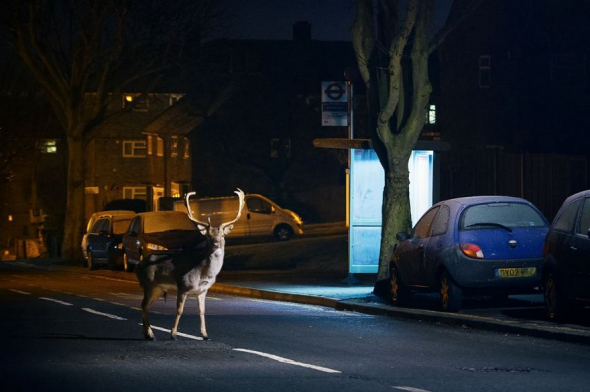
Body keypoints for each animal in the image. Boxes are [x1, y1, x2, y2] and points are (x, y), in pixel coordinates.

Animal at [136, 189, 245, 340]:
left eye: (222, 235)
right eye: (208, 236)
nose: (216, 243)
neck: (203, 272)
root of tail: (138, 266)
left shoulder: (203, 290)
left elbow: (202, 311)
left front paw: (205, 334)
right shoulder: (183, 285)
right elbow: (179, 310)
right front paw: (173, 334)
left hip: (158, 288)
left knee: (145, 306)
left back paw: (148, 334)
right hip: (149, 283)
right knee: (143, 305)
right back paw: (150, 334)